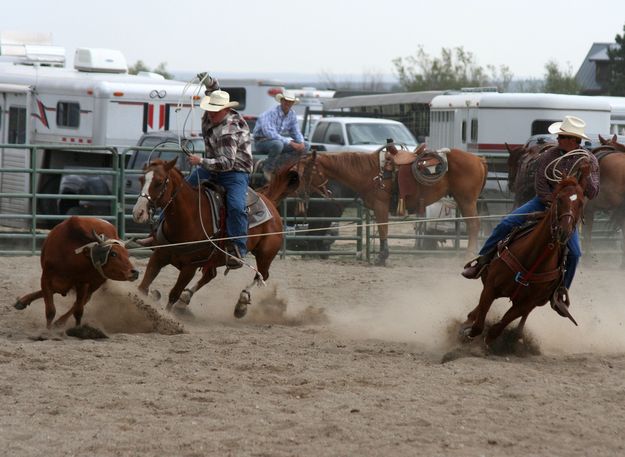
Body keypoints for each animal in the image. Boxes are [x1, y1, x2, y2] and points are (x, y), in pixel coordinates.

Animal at [130, 159, 296, 318]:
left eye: (159, 182)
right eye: (141, 179)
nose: (138, 212)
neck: (190, 219)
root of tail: (269, 201)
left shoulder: (189, 267)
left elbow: (173, 294)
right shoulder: (159, 256)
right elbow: (143, 287)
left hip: (265, 254)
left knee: (262, 275)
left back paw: (241, 303)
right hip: (216, 258)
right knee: (210, 275)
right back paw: (185, 300)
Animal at [292, 146, 488, 266]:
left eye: (307, 171)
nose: (298, 192)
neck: (369, 172)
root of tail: (478, 159)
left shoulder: (381, 205)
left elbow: (383, 230)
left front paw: (381, 257)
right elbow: (382, 230)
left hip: (467, 200)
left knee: (474, 225)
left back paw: (469, 255)